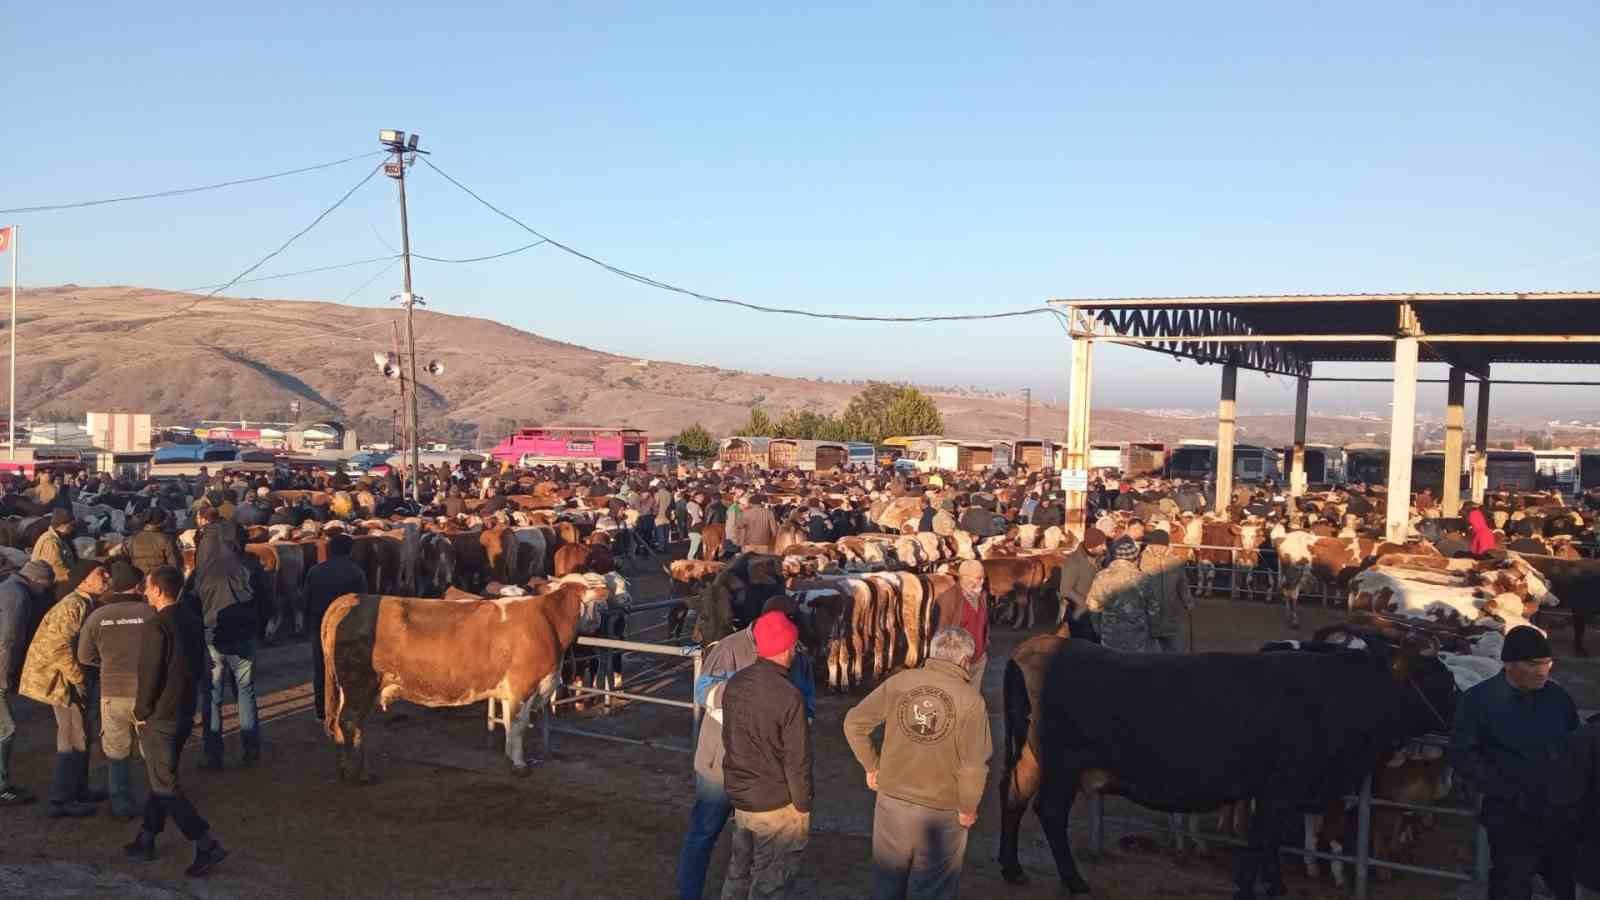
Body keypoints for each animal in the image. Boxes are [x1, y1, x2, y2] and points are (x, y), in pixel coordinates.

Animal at [320, 576, 611, 775]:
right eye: (597, 604)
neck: (546, 620)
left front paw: (509, 757)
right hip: (359, 684)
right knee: (349, 722)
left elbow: (508, 724)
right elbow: (518, 726)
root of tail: (351, 598)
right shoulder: (523, 687)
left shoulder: (509, 691)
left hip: (349, 688)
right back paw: (356, 773)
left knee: (343, 724)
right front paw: (519, 765)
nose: (598, 623)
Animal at [1004, 634, 1459, 890]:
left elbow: (1264, 840)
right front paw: (1260, 885)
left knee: (1013, 796)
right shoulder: (1282, 787)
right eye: (1442, 677)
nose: (1460, 709)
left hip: (1031, 758)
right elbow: (1263, 840)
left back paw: (1013, 869)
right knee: (1048, 812)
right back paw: (1073, 880)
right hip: (1062, 766)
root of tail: (1031, 649)